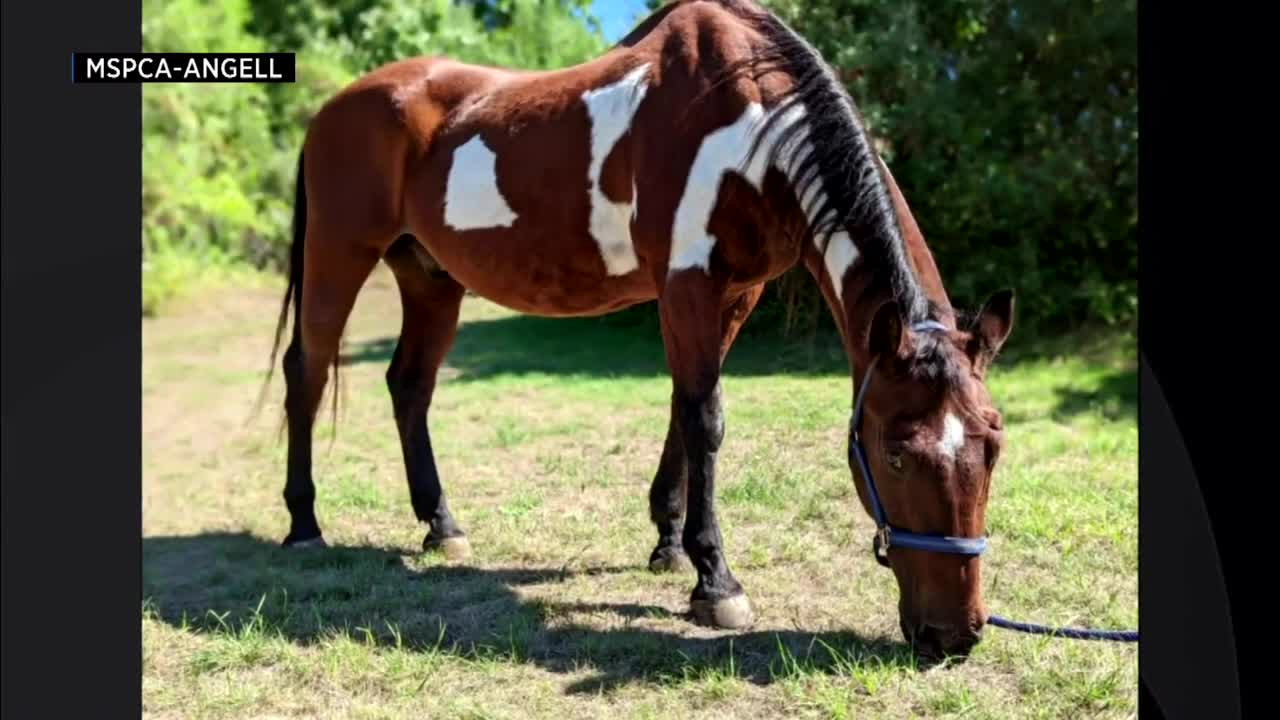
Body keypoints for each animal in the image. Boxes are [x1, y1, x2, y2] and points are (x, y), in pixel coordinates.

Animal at [264, 0, 1013, 655]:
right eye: (894, 453)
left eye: (994, 446)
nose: (954, 635)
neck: (751, 125)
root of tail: (330, 111)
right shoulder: (686, 283)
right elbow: (705, 419)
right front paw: (716, 583)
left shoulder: (735, 294)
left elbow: (685, 410)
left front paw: (669, 546)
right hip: (339, 254)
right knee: (308, 372)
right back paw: (304, 524)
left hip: (430, 278)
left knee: (409, 385)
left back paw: (441, 526)